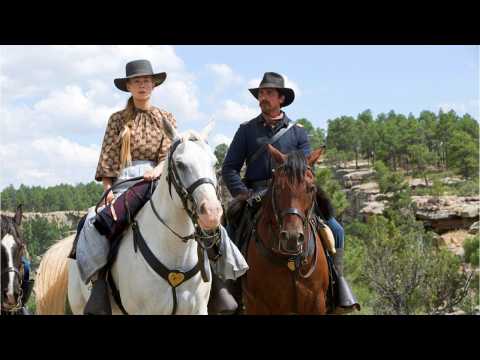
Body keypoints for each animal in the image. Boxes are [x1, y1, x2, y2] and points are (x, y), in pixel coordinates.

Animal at [242, 145, 328, 314]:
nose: (292, 238)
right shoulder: (258, 304)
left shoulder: (317, 302)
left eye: (311, 188)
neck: (290, 261)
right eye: (278, 187)